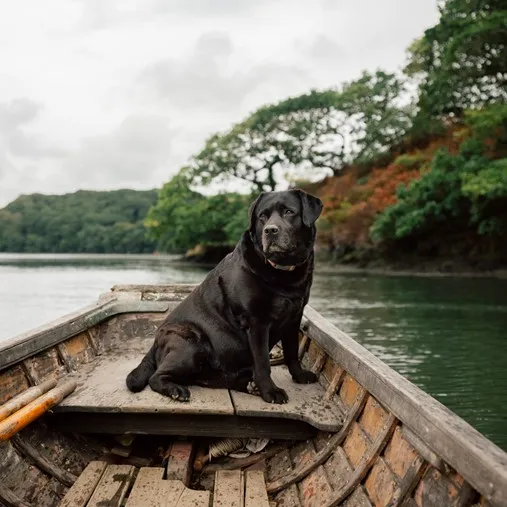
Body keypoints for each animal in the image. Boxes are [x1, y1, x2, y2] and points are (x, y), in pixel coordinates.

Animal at [127, 190, 326, 404]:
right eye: (262, 216)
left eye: (289, 212)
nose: (270, 230)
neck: (283, 273)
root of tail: (155, 343)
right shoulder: (256, 322)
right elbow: (263, 362)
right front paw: (270, 392)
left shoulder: (294, 318)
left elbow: (292, 352)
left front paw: (300, 376)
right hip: (191, 344)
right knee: (156, 377)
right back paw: (176, 390)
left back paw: (249, 385)